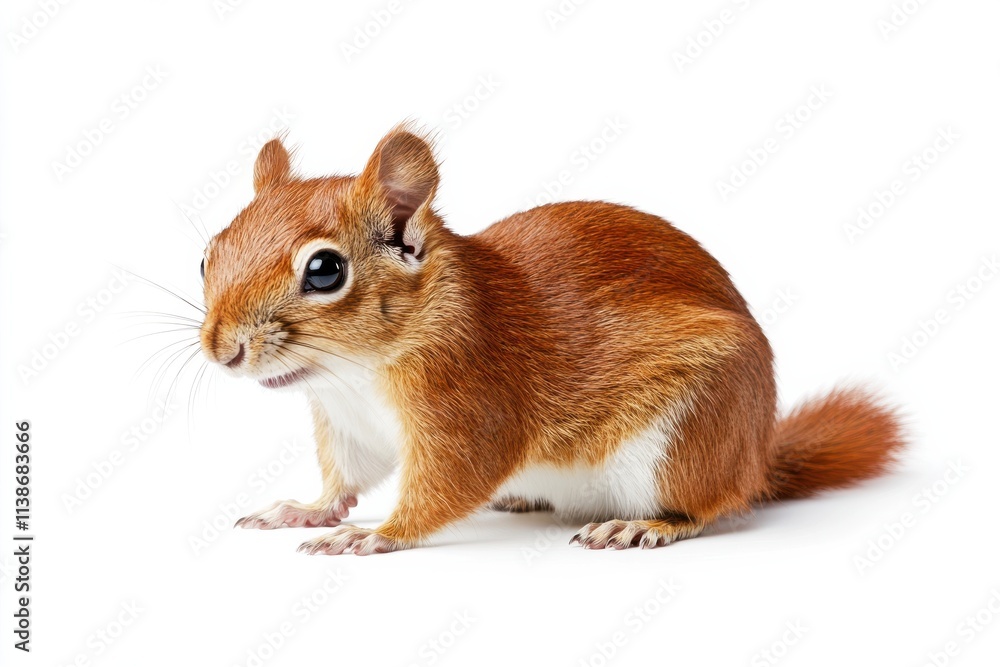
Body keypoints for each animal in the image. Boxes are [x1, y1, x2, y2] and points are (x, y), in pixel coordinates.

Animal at [198, 124, 905, 555]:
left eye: (325, 270)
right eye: (208, 255)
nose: (221, 351)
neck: (354, 373)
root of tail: (756, 456)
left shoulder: (469, 402)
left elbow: (445, 485)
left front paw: (379, 535)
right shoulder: (347, 427)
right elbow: (345, 481)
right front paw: (303, 509)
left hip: (687, 435)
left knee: (706, 506)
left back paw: (639, 524)